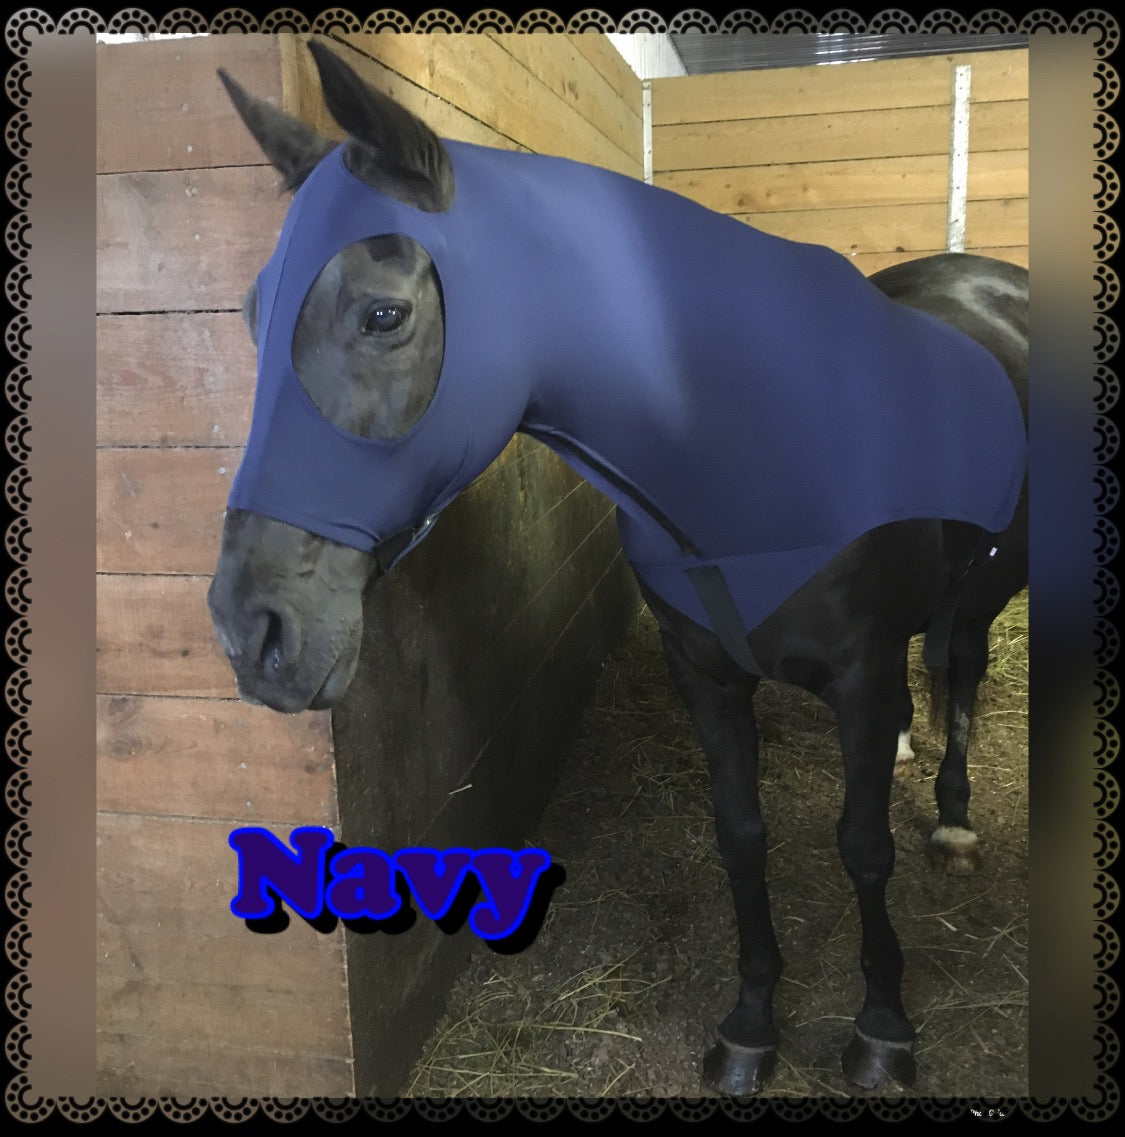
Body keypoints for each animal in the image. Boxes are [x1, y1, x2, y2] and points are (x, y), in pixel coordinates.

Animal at [207, 40, 1028, 1095]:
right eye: (251, 315)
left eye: (382, 315)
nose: (249, 631)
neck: (747, 455)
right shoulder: (705, 675)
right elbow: (741, 837)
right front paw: (749, 1025)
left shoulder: (858, 670)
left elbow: (862, 846)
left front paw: (882, 1027)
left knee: (961, 667)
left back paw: (956, 822)